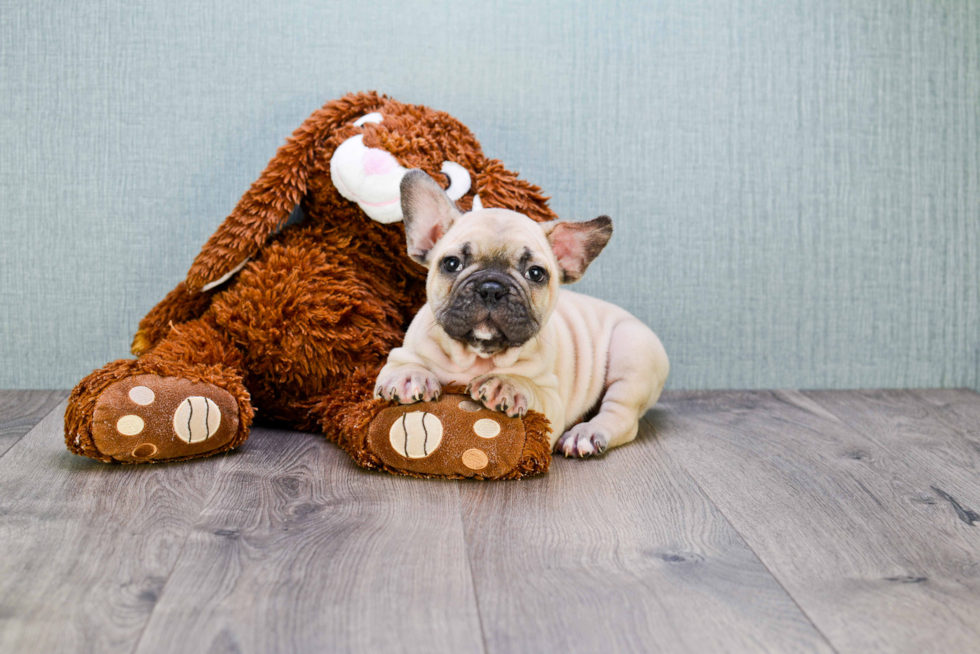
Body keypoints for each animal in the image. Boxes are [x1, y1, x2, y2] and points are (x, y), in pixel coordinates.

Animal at [372, 170, 668, 456]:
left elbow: (530, 386)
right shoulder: (400, 355)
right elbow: (403, 365)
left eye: (535, 273)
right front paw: (409, 377)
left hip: (631, 352)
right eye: (452, 263)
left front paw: (506, 384)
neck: (478, 356)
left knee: (621, 415)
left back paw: (585, 434)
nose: (491, 288)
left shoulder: (551, 403)